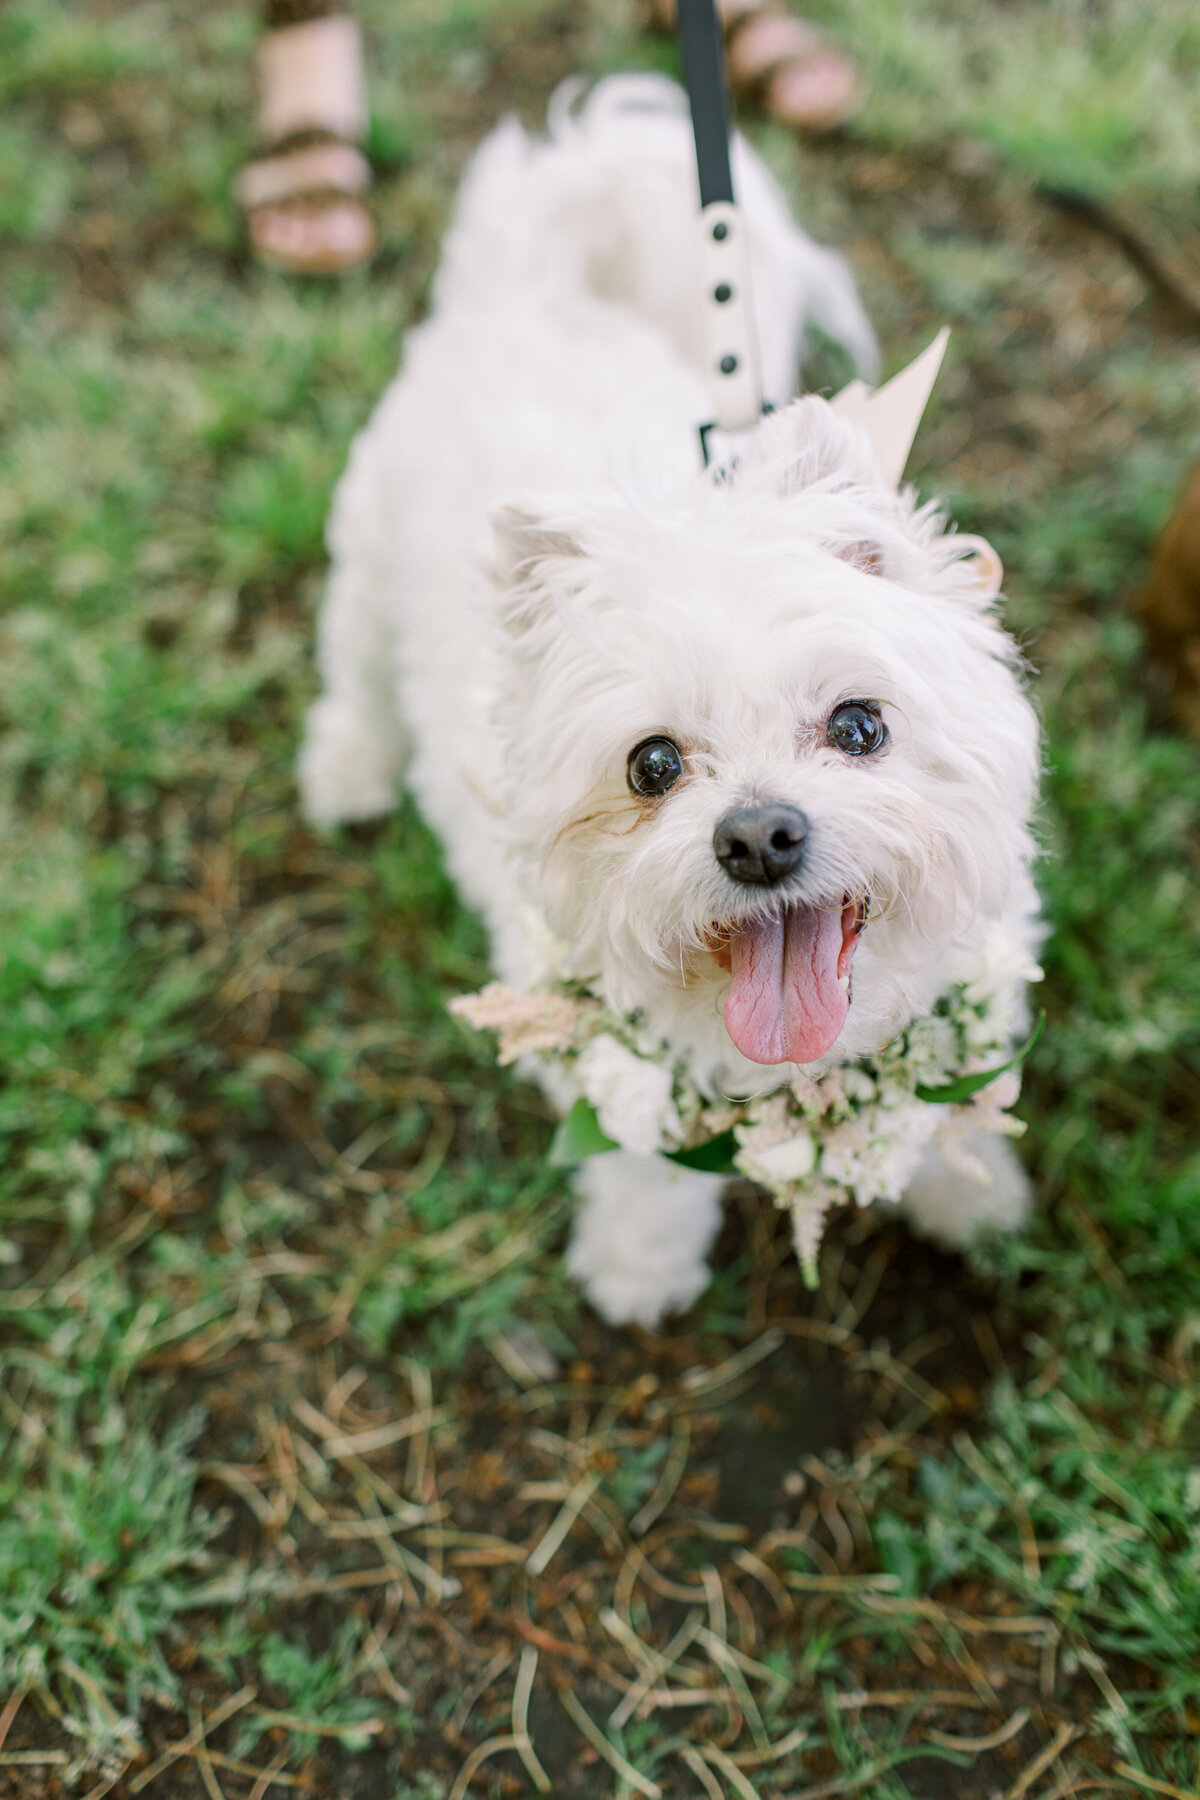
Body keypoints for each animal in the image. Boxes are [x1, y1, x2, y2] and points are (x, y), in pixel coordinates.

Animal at [300, 77, 1043, 1332]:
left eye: (859, 726)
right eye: (651, 765)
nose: (758, 837)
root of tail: (530, 286)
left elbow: (951, 1117)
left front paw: (975, 1198)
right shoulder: (618, 1068)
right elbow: (642, 1170)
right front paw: (639, 1269)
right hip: (362, 559)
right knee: (354, 674)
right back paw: (347, 769)